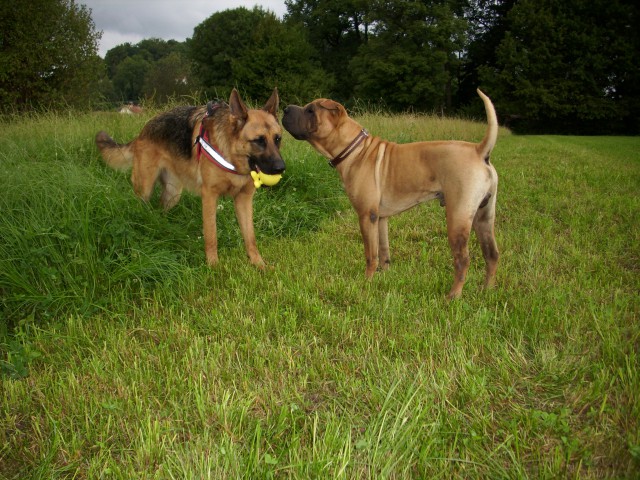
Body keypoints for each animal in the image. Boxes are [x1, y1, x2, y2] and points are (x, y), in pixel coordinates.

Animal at [95, 88, 284, 268]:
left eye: (277, 139)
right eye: (259, 140)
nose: (281, 168)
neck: (232, 156)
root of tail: (143, 131)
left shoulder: (244, 200)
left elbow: (250, 237)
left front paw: (259, 264)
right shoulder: (209, 197)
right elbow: (211, 235)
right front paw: (214, 266)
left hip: (173, 194)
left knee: (161, 208)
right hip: (145, 189)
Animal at [284, 90, 500, 298]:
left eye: (311, 110)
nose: (285, 109)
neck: (354, 149)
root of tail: (479, 151)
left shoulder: (366, 216)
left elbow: (371, 254)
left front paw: (367, 282)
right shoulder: (380, 218)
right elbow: (384, 251)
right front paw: (384, 277)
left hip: (458, 217)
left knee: (463, 260)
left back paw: (453, 296)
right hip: (484, 216)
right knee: (492, 254)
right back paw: (487, 290)